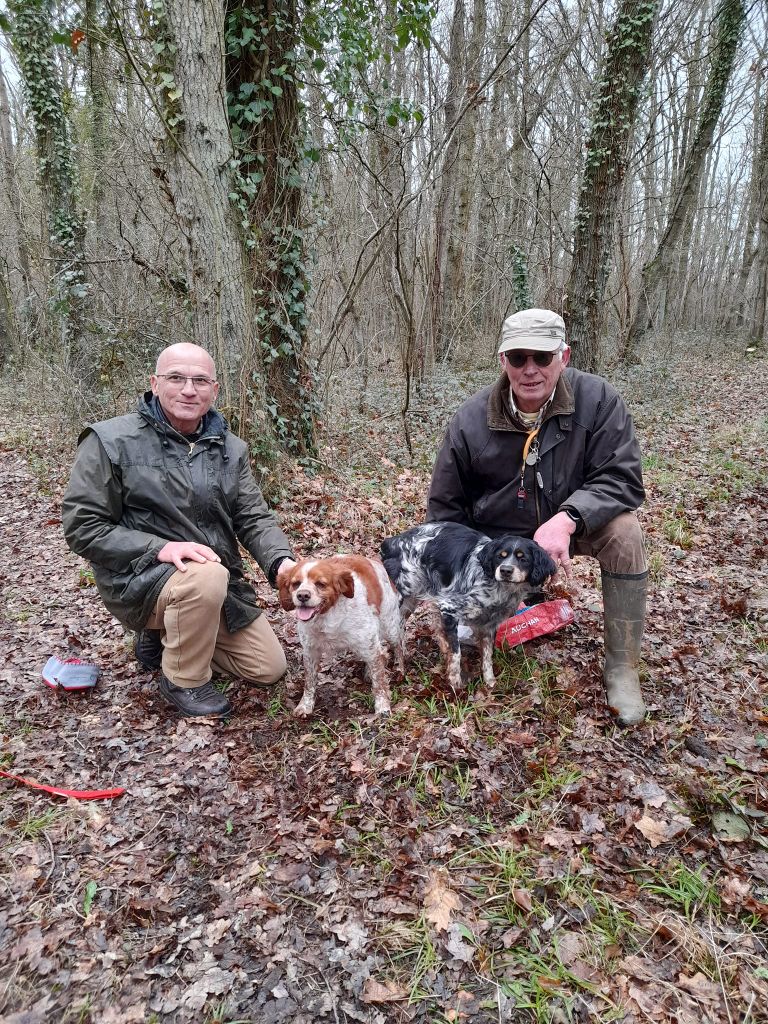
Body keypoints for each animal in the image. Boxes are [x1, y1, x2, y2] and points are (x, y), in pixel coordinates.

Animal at [278, 557, 403, 716]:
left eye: (320, 584)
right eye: (296, 584)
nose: (302, 595)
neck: (327, 617)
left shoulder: (370, 646)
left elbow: (379, 681)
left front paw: (382, 708)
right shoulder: (310, 650)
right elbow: (309, 681)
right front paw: (305, 705)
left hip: (390, 627)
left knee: (398, 646)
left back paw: (400, 670)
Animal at [382, 528, 557, 688]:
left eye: (523, 558)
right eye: (500, 556)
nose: (505, 570)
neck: (500, 589)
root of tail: (390, 542)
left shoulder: (489, 625)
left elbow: (487, 655)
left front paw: (489, 682)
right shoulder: (449, 608)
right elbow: (456, 651)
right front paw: (455, 682)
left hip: (411, 600)